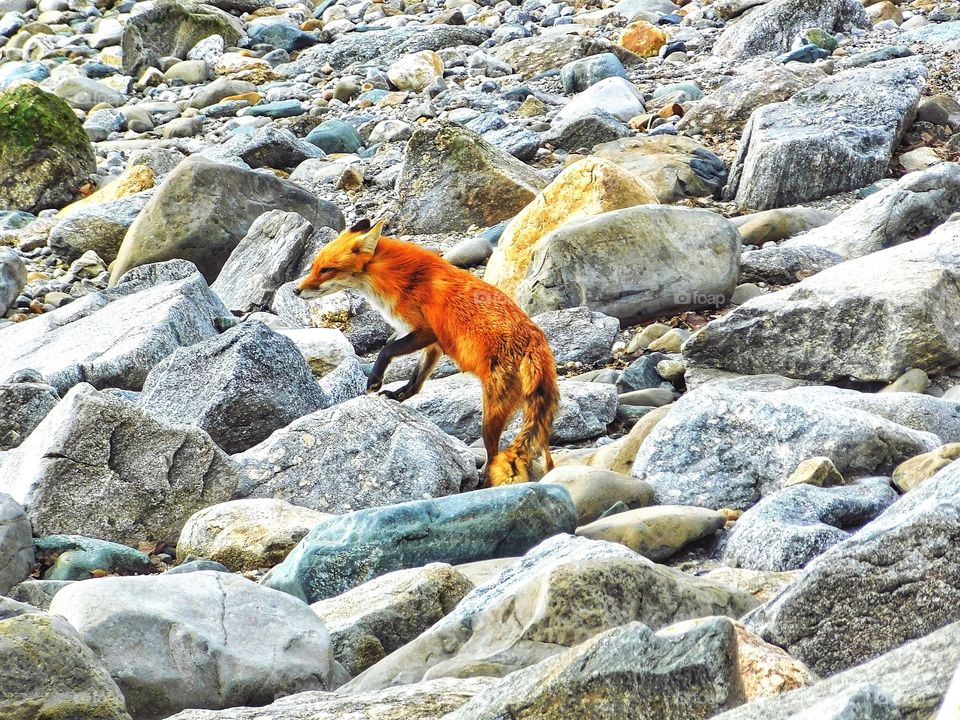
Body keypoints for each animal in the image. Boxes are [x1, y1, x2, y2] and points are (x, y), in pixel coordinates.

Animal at [294, 218, 559, 487]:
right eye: (314, 266)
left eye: (326, 270)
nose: (296, 290)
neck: (399, 278)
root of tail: (536, 345)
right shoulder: (434, 345)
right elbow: (416, 380)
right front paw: (397, 395)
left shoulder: (426, 331)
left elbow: (386, 350)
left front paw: (374, 381)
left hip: (490, 414)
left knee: (494, 452)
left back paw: (484, 483)